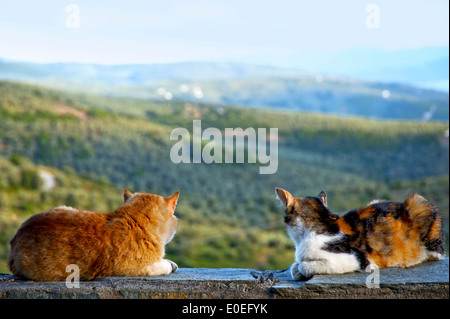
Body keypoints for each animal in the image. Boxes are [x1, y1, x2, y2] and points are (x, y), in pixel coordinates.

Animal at [276, 189, 444, 282]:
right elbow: (295, 267)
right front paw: (296, 270)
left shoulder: (353, 259)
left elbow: (304, 265)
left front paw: (301, 269)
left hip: (418, 202)